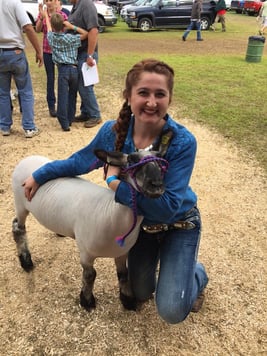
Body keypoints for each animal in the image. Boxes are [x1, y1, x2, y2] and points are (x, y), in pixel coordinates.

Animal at [12, 149, 170, 310]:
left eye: (161, 160)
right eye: (132, 159)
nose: (157, 185)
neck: (111, 212)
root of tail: (27, 158)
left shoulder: (122, 252)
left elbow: (123, 273)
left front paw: (128, 300)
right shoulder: (86, 253)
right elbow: (90, 275)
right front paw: (86, 301)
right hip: (20, 204)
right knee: (18, 228)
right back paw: (26, 262)